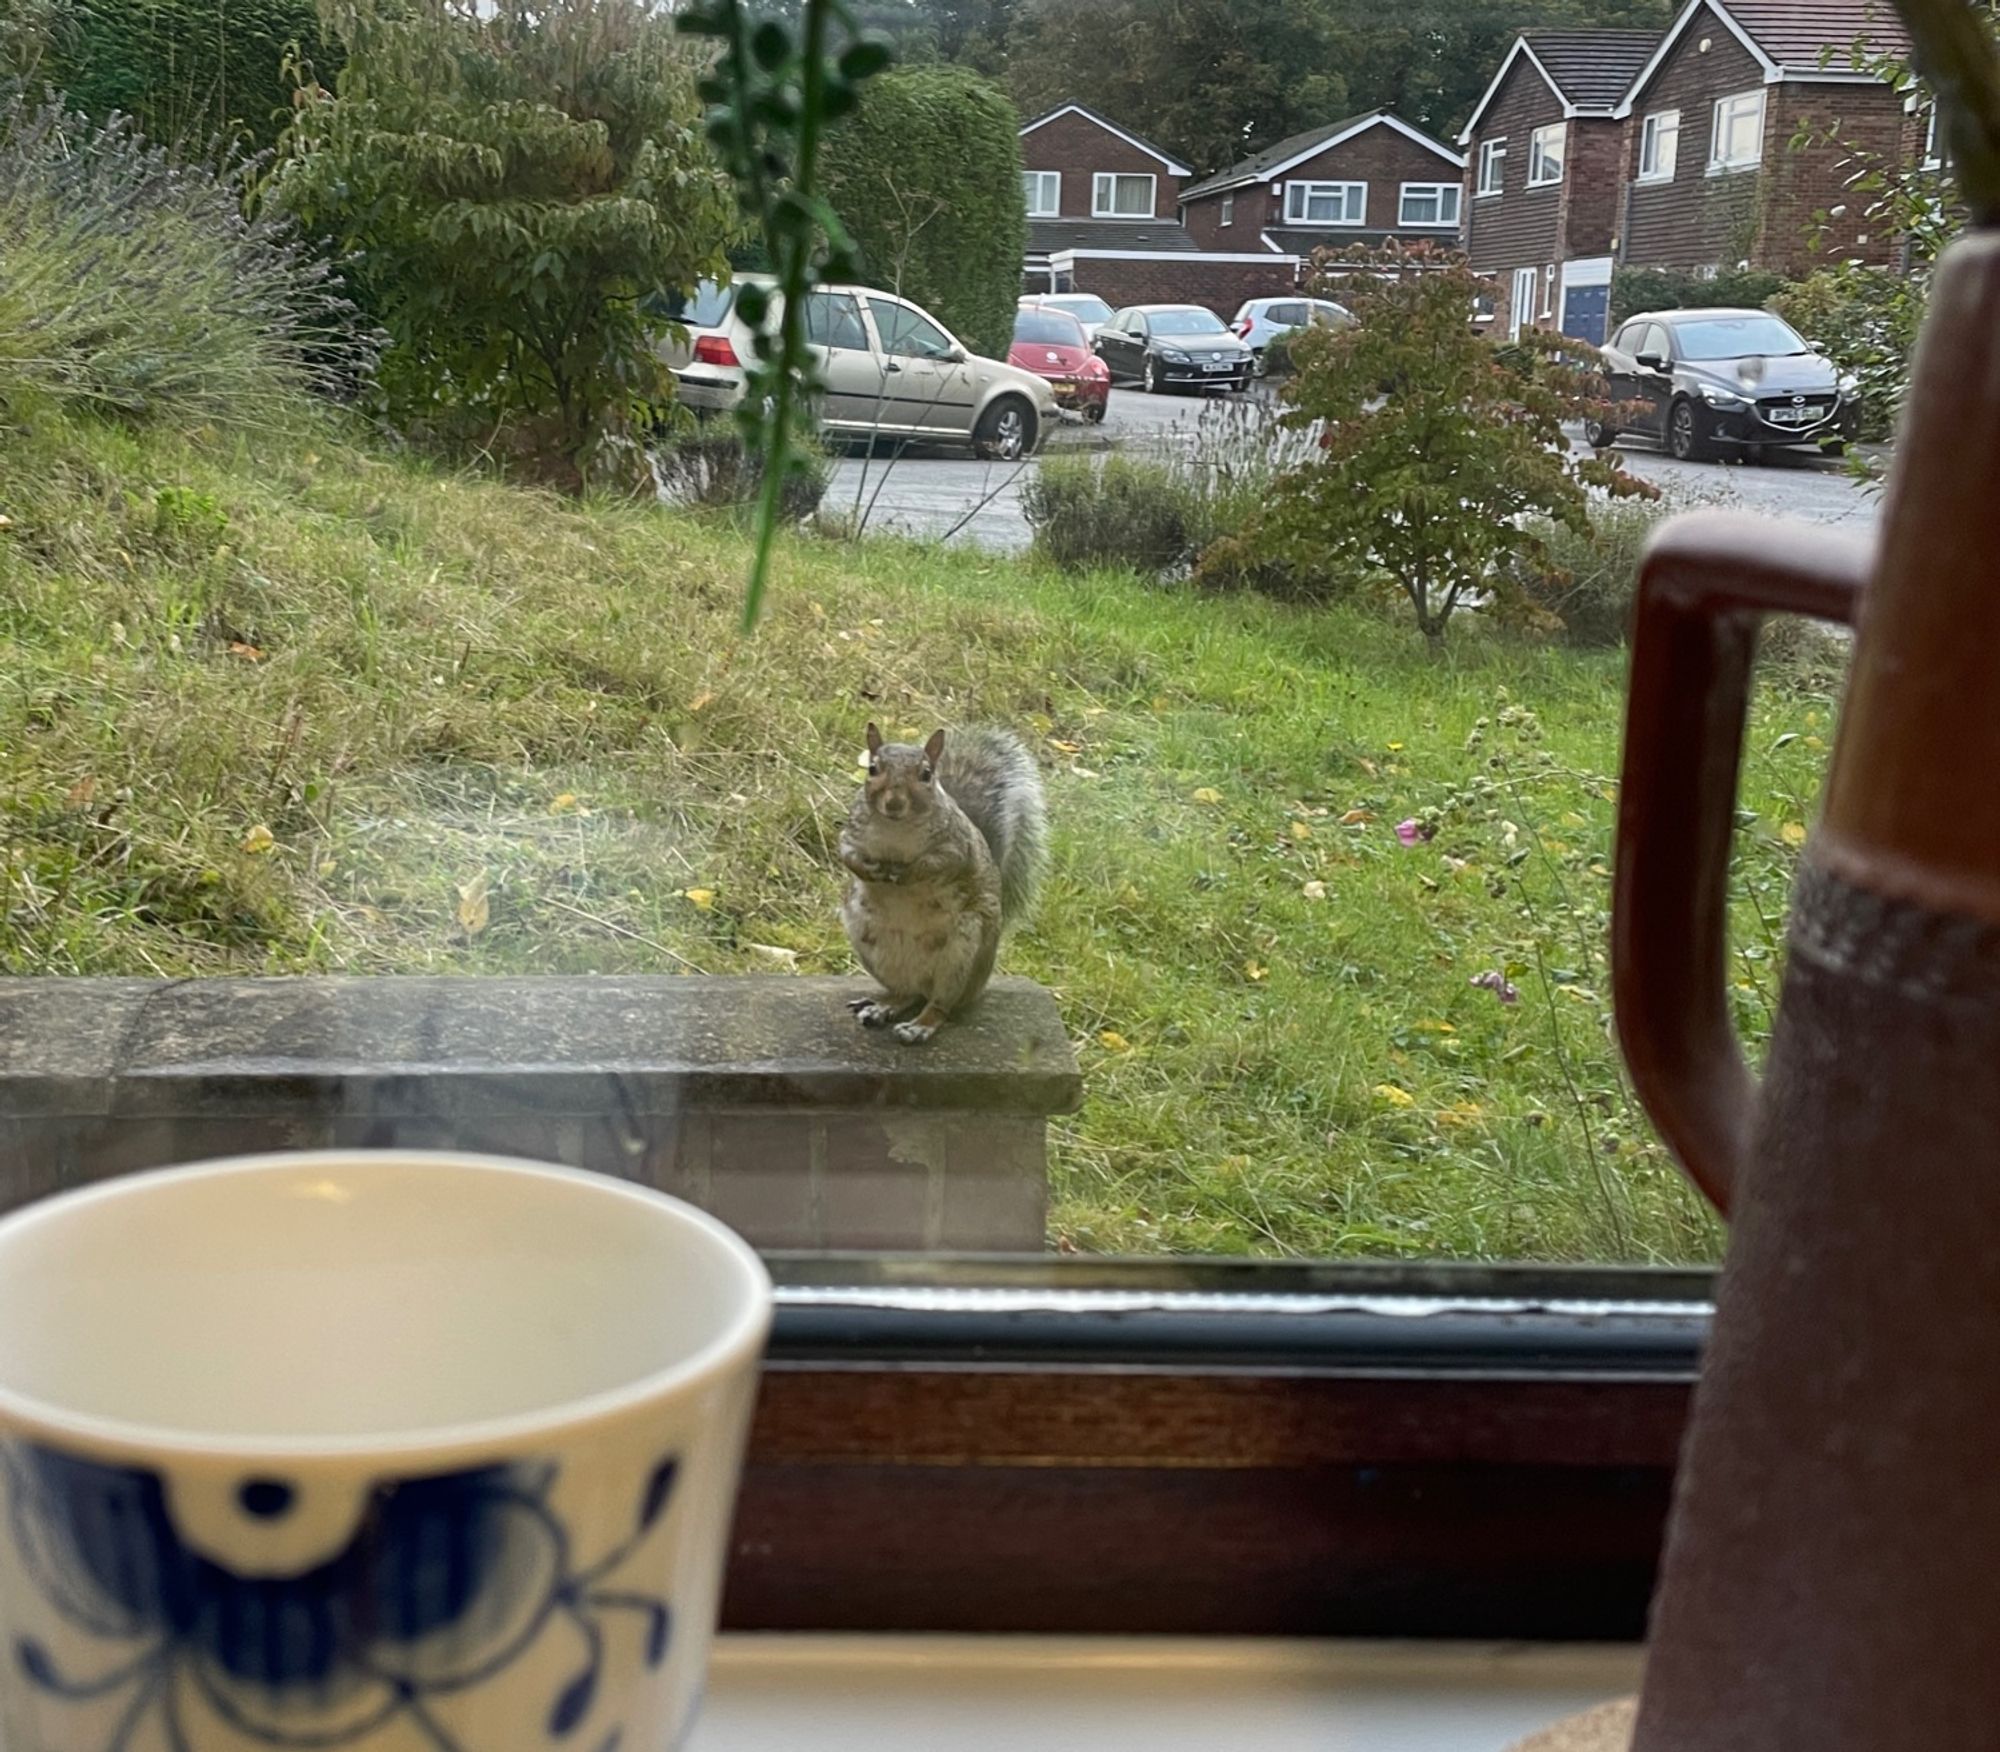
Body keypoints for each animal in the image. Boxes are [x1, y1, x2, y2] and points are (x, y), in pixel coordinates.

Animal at [836, 724, 1048, 1040]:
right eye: (872, 768)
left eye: (926, 774)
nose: (894, 803)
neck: (896, 830)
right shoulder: (851, 836)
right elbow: (848, 856)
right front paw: (871, 870)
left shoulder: (957, 845)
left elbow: (941, 863)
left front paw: (909, 873)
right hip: (870, 945)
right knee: (906, 993)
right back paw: (883, 1007)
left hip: (963, 957)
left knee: (940, 1005)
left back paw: (920, 1026)